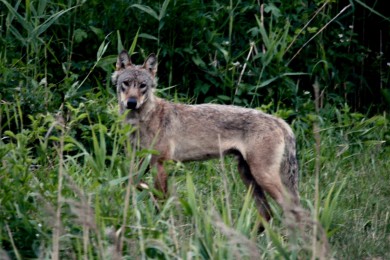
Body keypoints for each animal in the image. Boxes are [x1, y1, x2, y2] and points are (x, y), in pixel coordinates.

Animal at [112, 50, 302, 221]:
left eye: (142, 85)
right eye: (126, 83)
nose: (131, 102)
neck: (142, 120)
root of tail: (278, 121)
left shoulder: (160, 164)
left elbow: (159, 197)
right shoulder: (138, 163)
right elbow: (132, 183)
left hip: (263, 177)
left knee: (294, 210)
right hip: (248, 177)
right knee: (268, 214)